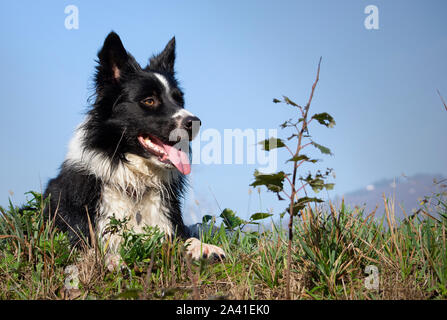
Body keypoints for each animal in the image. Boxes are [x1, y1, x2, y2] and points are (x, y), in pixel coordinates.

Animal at [43, 31, 226, 268]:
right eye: (149, 100)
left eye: (179, 100)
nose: (194, 122)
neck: (135, 183)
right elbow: (91, 250)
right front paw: (111, 259)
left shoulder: (168, 225)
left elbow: (185, 238)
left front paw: (203, 248)